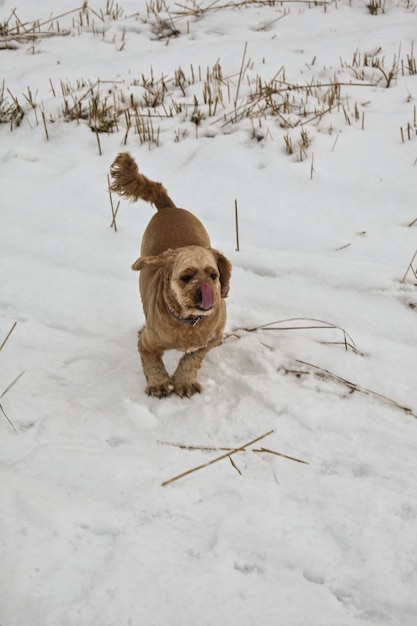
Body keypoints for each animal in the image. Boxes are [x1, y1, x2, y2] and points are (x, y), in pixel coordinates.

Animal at [109, 151, 231, 394]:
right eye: (186, 277)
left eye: (213, 275)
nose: (205, 292)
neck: (189, 323)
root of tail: (168, 208)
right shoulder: (148, 344)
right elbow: (152, 363)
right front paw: (158, 385)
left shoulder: (210, 340)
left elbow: (192, 359)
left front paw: (184, 382)